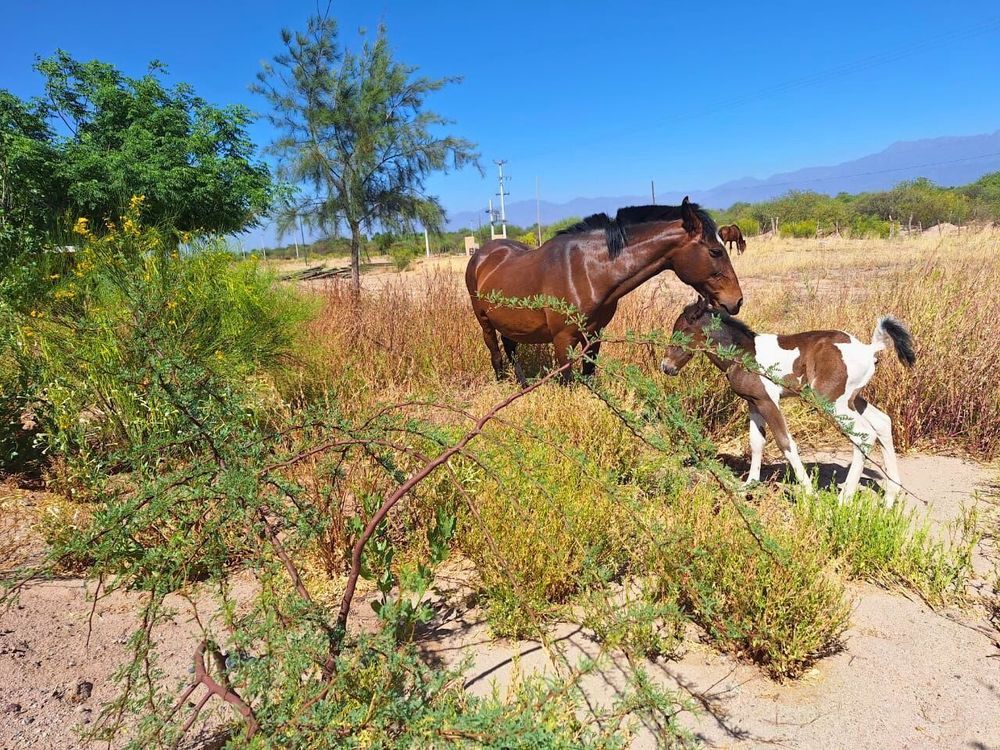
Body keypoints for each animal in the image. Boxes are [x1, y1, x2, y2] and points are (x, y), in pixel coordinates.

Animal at [466, 198, 743, 385]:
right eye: (715, 251)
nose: (737, 301)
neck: (586, 271)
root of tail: (481, 255)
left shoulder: (594, 335)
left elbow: (589, 376)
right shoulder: (562, 340)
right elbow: (568, 382)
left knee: (511, 349)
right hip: (485, 323)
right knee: (497, 356)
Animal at [659, 299, 915, 504]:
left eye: (680, 331)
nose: (666, 367)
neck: (743, 353)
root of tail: (868, 350)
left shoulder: (768, 401)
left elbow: (785, 442)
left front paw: (809, 492)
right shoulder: (753, 402)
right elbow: (756, 442)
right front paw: (750, 484)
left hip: (831, 401)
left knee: (864, 434)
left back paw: (844, 498)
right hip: (853, 399)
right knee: (883, 423)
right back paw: (891, 496)